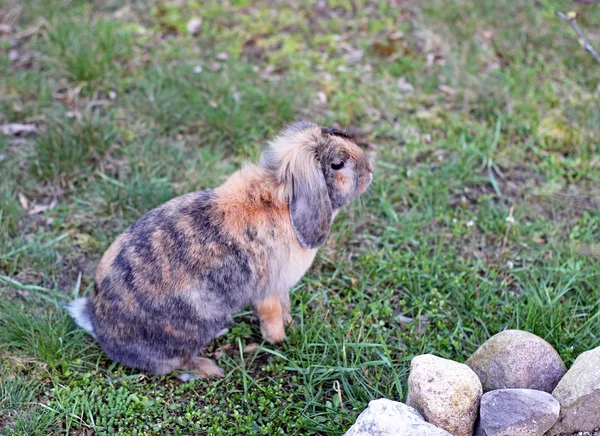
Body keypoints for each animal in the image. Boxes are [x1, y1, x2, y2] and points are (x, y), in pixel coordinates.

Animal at [68, 121, 372, 380]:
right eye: (337, 164)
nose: (369, 171)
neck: (283, 201)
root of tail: (99, 326)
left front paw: (290, 321)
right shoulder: (268, 291)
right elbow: (272, 317)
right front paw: (280, 338)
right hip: (190, 329)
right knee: (176, 364)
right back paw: (211, 368)